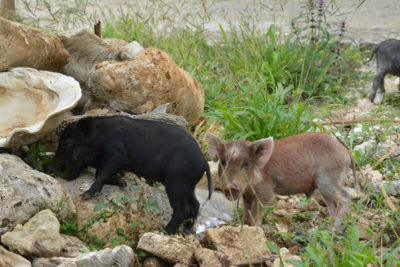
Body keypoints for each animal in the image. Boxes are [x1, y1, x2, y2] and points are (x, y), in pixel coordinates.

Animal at [50, 116, 212, 236]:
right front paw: (122, 182)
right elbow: (100, 174)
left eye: (66, 143)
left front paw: (85, 195)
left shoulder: (117, 156)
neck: (100, 139)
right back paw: (187, 230)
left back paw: (164, 232)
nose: (52, 166)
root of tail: (204, 161)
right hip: (189, 185)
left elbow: (101, 175)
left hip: (177, 181)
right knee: (195, 205)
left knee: (182, 209)